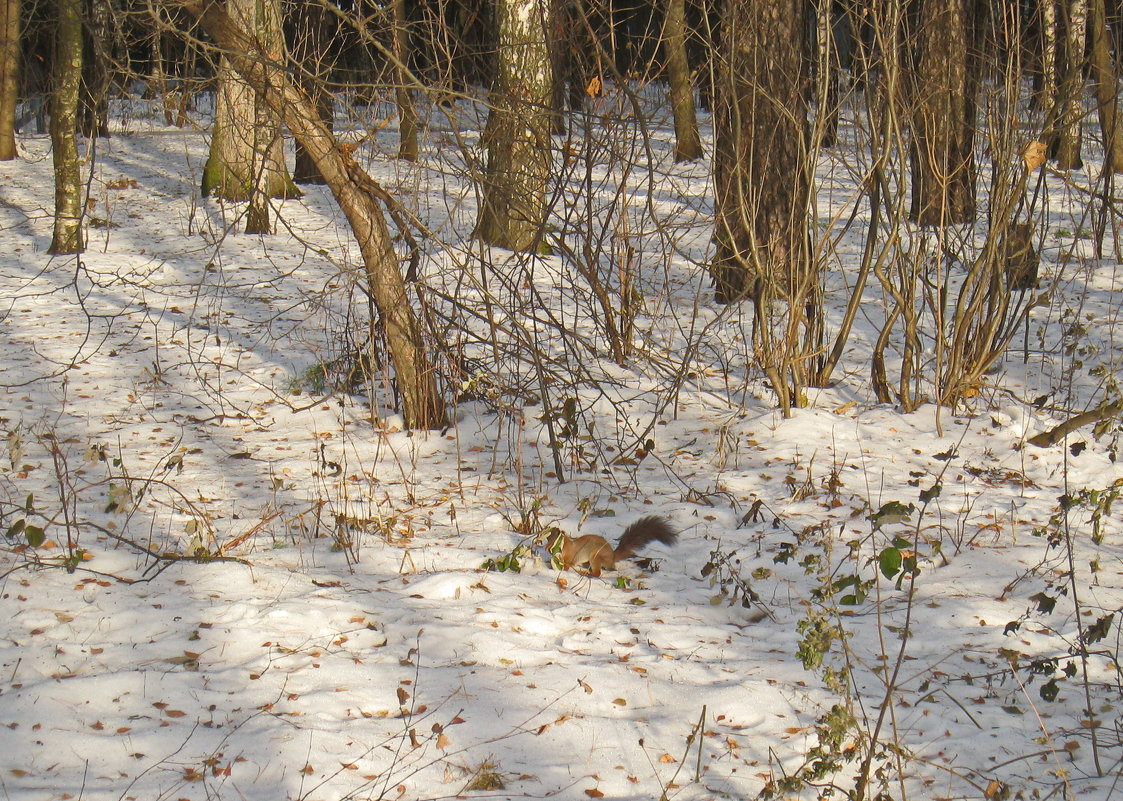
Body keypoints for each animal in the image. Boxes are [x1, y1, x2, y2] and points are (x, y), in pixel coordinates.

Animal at [543, 514, 673, 579]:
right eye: (547, 538)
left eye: (553, 541)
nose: (546, 549)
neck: (565, 547)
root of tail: (612, 557)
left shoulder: (570, 557)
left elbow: (566, 565)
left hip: (595, 557)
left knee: (598, 573)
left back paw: (587, 574)